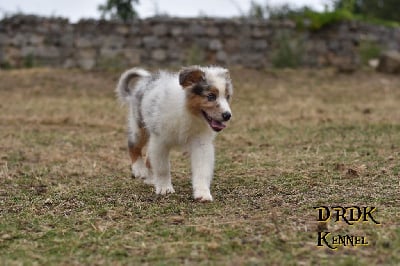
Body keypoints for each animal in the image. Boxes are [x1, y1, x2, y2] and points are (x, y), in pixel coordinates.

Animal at [115, 65, 233, 201]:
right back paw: (139, 169)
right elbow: (163, 168)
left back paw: (151, 179)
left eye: (227, 97)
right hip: (140, 127)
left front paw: (202, 193)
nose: (227, 115)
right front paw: (165, 188)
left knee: (149, 158)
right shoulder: (160, 141)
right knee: (133, 145)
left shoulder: (201, 144)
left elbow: (202, 170)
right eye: (211, 96)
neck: (188, 112)